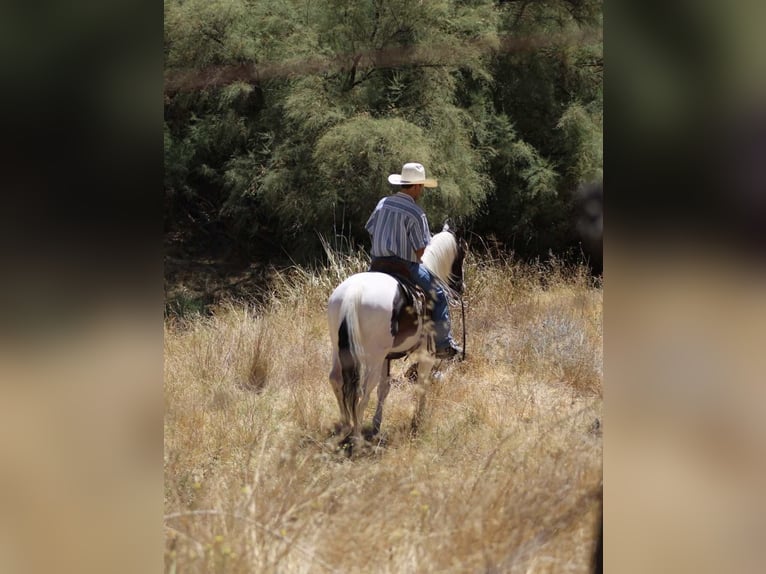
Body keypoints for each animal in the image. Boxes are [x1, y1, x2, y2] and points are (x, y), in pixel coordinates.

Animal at [327, 224, 466, 452]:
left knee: (336, 381)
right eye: (463, 252)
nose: (460, 287)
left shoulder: (387, 357)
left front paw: (376, 426)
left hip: (339, 349)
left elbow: (384, 389)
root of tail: (353, 294)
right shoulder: (426, 355)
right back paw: (357, 440)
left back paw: (345, 427)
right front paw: (417, 422)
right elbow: (421, 385)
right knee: (362, 392)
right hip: (372, 358)